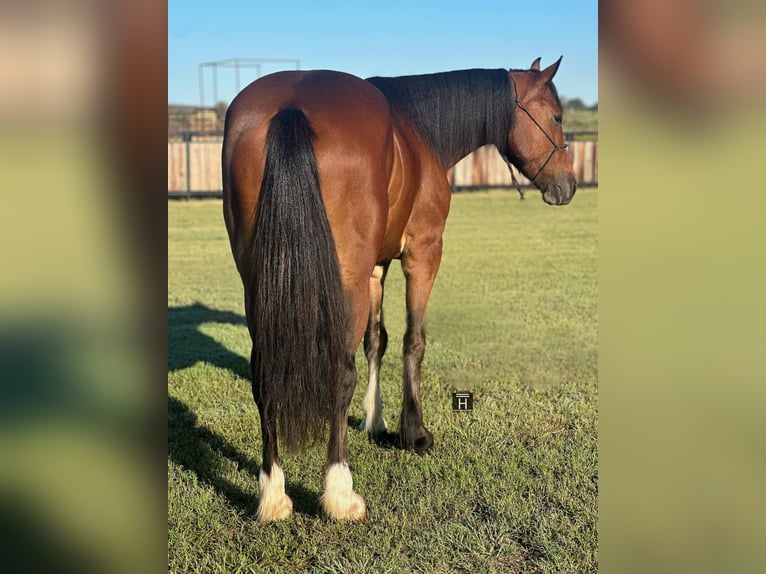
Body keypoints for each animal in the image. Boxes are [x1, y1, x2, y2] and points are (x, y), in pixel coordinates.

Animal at [222, 57, 576, 520]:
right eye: (557, 117)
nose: (568, 185)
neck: (419, 131)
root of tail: (291, 107)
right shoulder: (422, 253)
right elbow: (413, 341)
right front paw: (414, 432)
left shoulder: (376, 267)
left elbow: (377, 340)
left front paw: (374, 419)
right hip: (344, 282)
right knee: (340, 375)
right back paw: (340, 493)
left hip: (260, 286)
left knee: (264, 378)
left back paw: (273, 494)